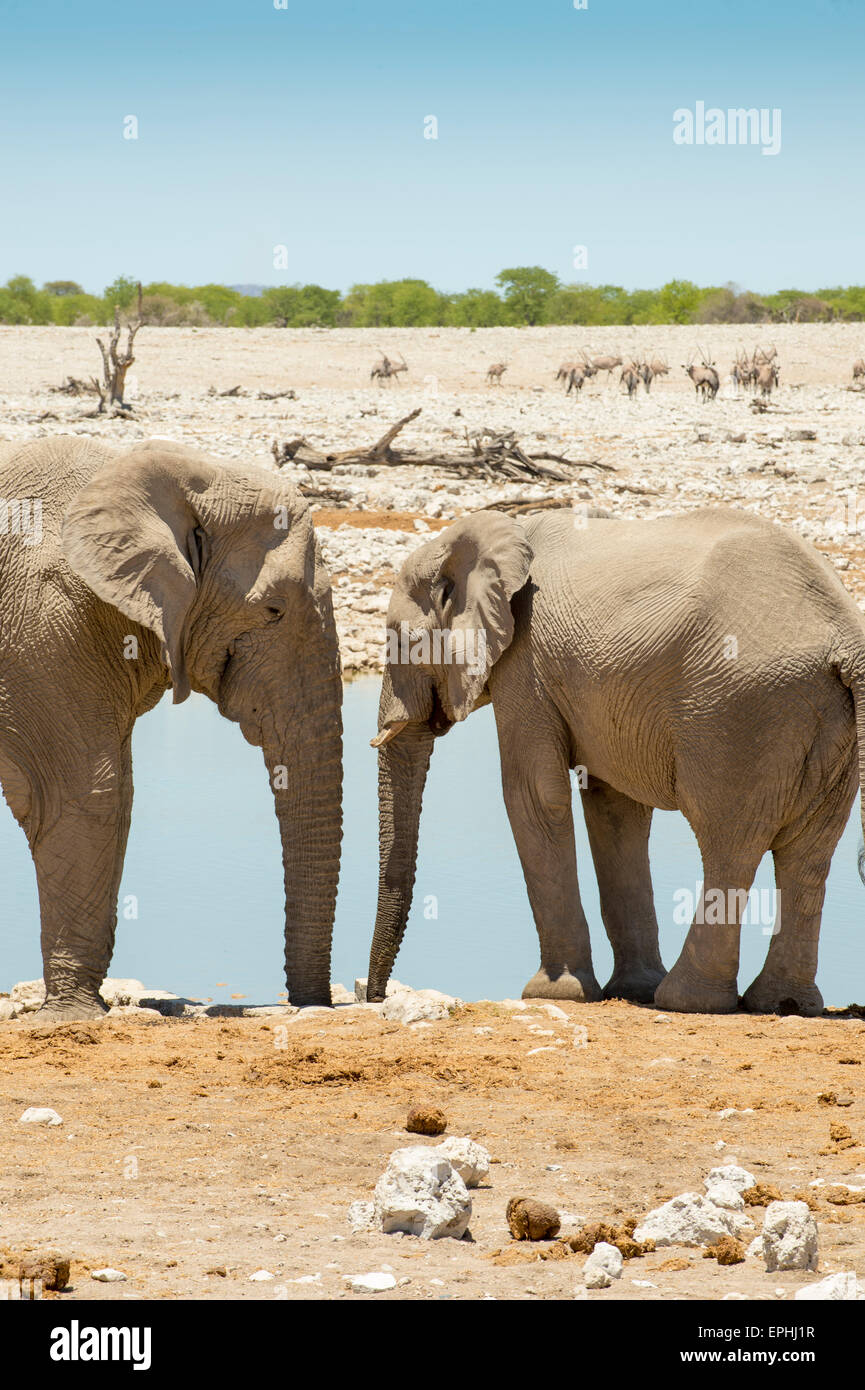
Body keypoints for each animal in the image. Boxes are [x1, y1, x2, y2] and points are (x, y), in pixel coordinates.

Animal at [0, 436, 343, 1023]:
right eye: (273, 610)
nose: (310, 1005)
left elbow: (116, 792)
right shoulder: (44, 626)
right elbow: (86, 794)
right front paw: (73, 1017)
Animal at [369, 505, 865, 1017]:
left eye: (398, 641)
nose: (376, 996)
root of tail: (845, 636)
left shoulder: (525, 663)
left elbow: (533, 793)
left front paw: (555, 993)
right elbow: (615, 809)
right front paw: (631, 989)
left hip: (740, 711)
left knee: (730, 842)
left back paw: (688, 1001)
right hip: (827, 724)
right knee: (809, 853)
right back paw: (783, 1003)